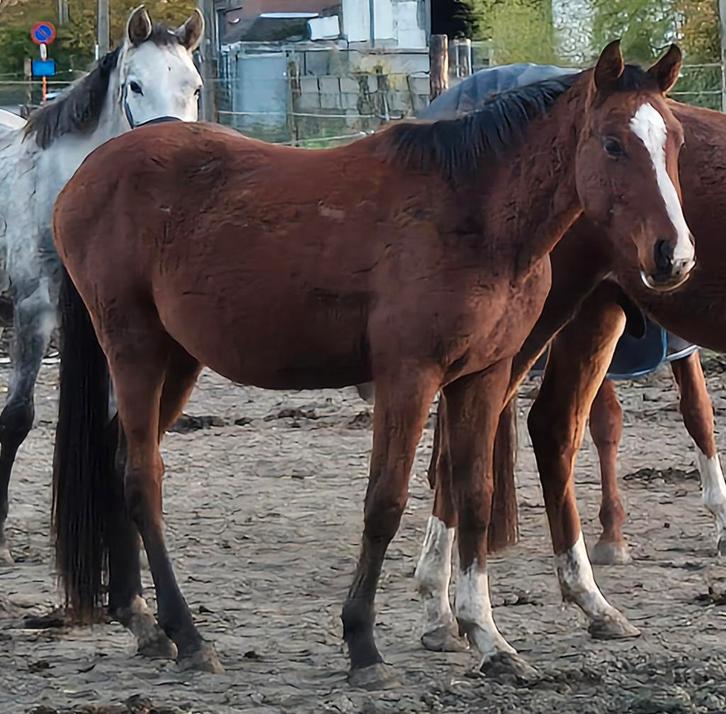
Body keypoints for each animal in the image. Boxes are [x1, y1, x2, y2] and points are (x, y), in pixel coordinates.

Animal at [50, 43, 692, 686]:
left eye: (677, 140)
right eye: (613, 143)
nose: (675, 255)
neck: (472, 213)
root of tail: (86, 176)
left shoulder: (482, 377)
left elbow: (474, 496)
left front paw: (488, 638)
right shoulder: (409, 377)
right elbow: (385, 502)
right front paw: (363, 642)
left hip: (178, 359)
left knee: (119, 461)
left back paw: (142, 620)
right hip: (135, 349)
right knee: (143, 478)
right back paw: (187, 634)